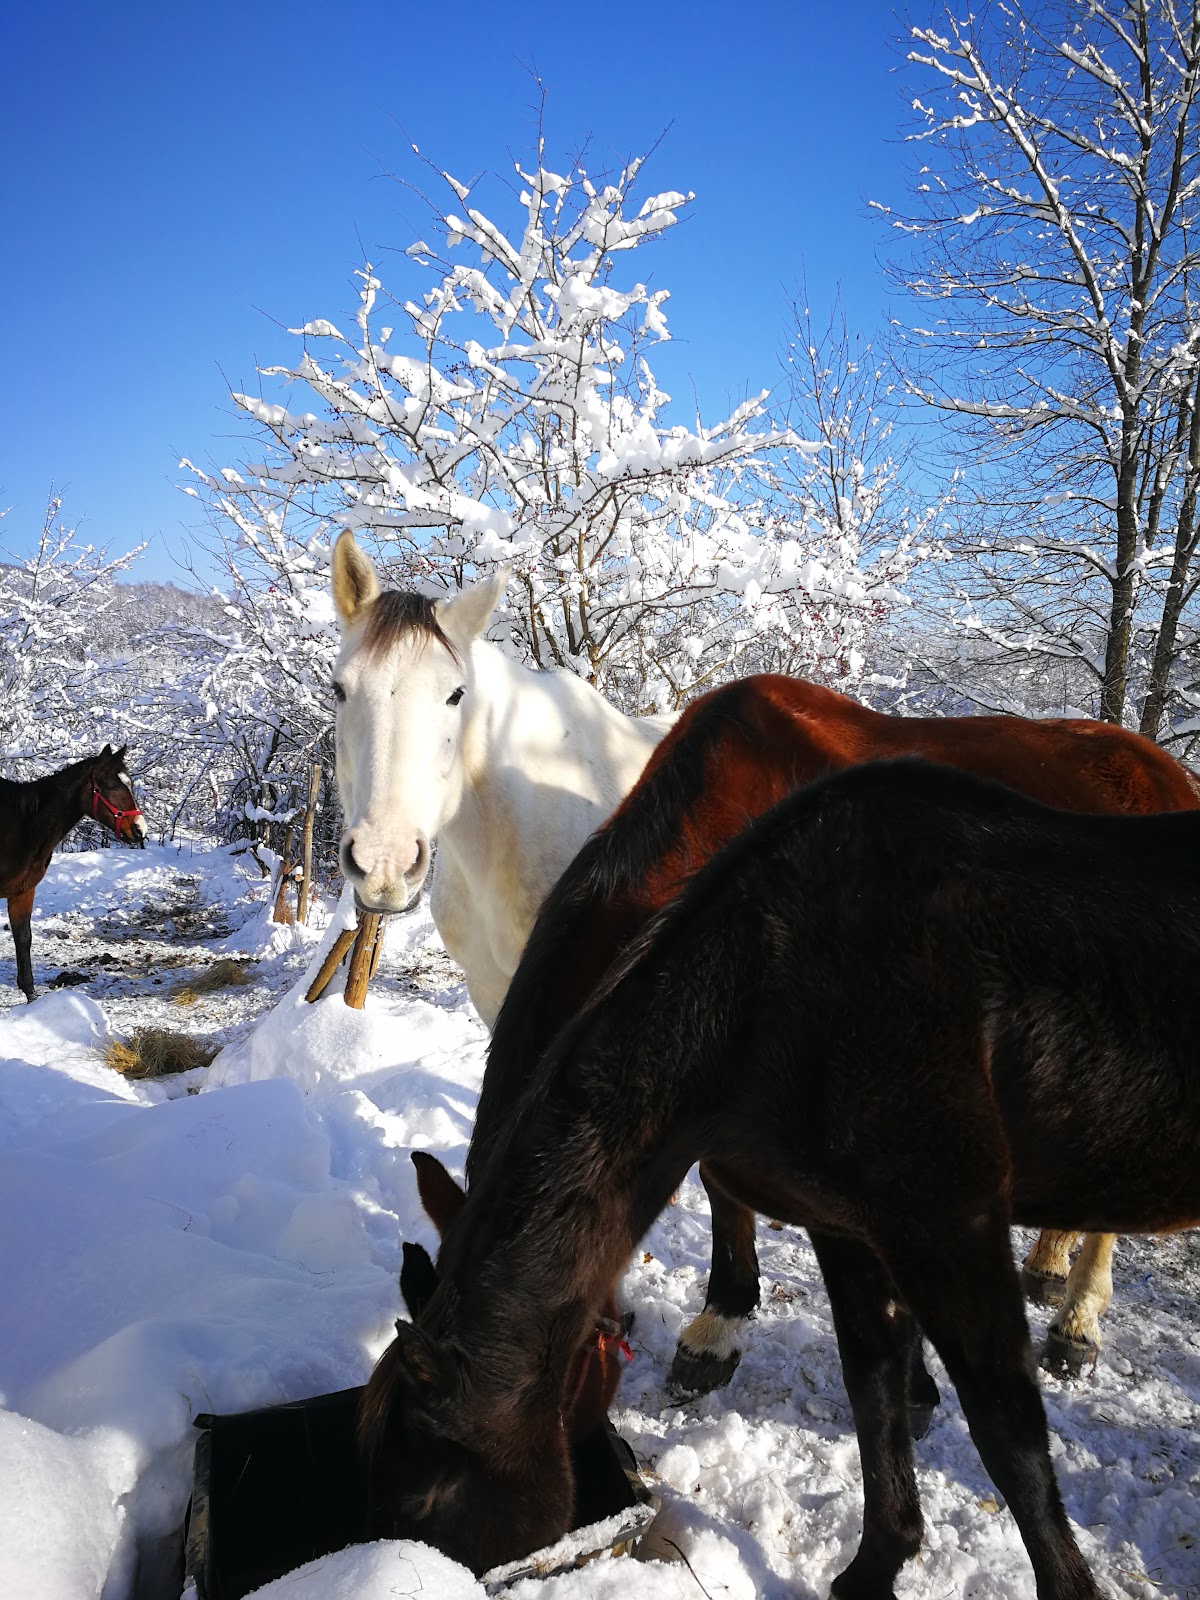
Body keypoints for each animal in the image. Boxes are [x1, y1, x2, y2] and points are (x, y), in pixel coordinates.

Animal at [0, 744, 147, 1001]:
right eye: (110, 785)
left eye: (129, 783)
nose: (139, 829)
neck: (23, 825)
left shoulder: (23, 891)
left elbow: (23, 938)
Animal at [359, 758, 1200, 1599]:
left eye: (426, 1498)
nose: (421, 1573)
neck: (773, 986)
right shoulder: (849, 1229)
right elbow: (874, 1389)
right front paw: (875, 1564)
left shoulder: (950, 1225)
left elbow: (1009, 1433)